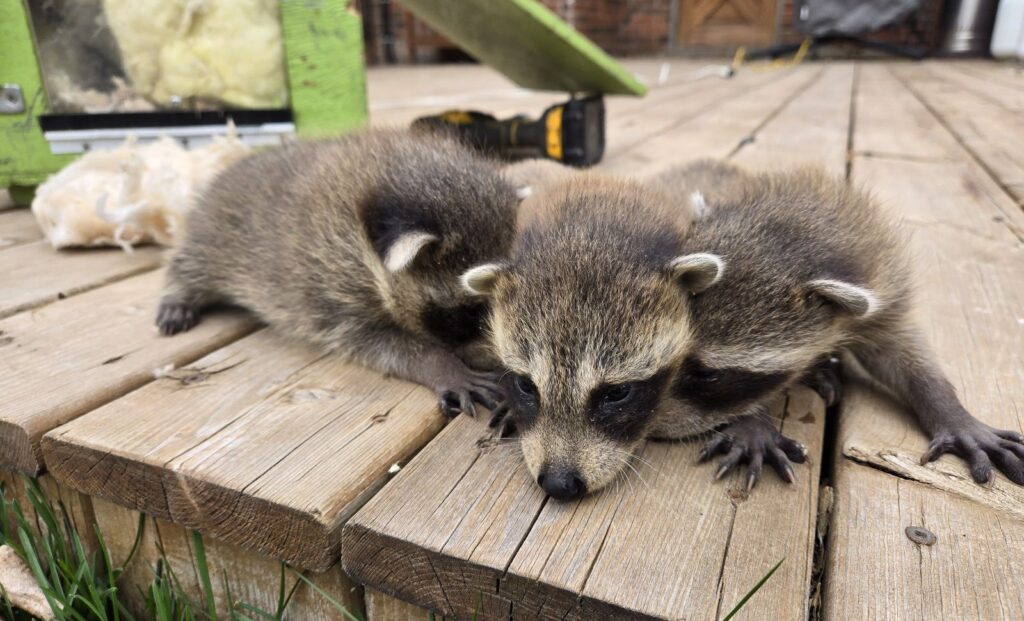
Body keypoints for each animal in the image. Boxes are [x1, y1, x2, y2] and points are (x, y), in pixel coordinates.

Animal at [157, 128, 518, 418]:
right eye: (465, 312)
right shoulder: (326, 284)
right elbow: (379, 342)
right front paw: (442, 364)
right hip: (213, 233)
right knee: (190, 264)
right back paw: (178, 292)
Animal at [655, 161, 1024, 490]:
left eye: (706, 374)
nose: (647, 429)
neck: (804, 226)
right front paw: (753, 421)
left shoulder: (885, 287)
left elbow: (901, 356)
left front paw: (951, 411)